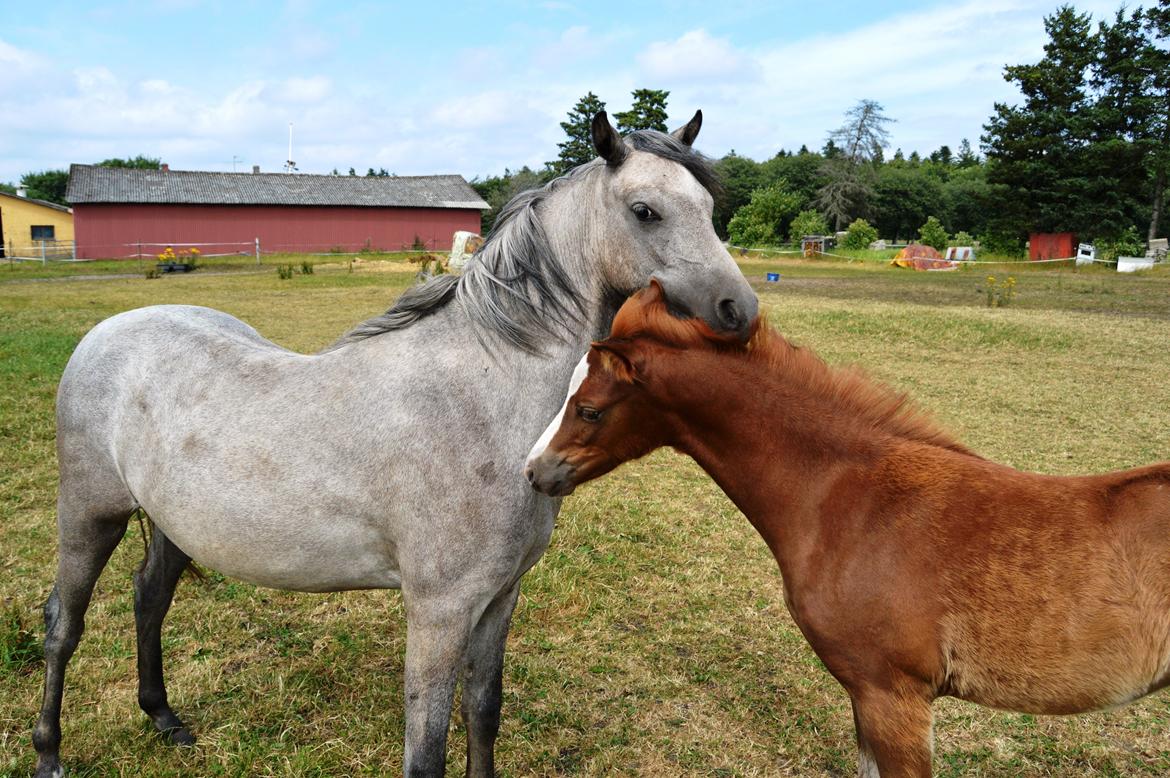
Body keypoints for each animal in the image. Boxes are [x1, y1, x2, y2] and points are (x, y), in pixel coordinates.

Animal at [33, 112, 759, 778]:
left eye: (708, 207)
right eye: (645, 211)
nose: (740, 313)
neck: (480, 399)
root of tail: (108, 332)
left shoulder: (500, 599)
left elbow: (484, 712)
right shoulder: (439, 613)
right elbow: (426, 751)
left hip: (174, 525)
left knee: (149, 598)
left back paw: (162, 717)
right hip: (90, 515)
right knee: (63, 624)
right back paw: (49, 754)